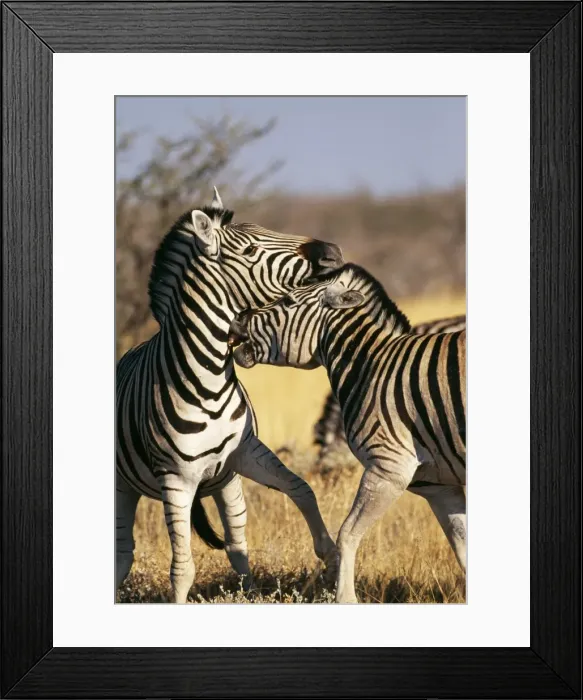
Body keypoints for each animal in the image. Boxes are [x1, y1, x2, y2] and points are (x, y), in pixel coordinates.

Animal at [116, 189, 344, 603]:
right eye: (251, 249)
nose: (332, 251)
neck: (209, 385)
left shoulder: (245, 451)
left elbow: (302, 489)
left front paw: (331, 556)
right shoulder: (176, 479)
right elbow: (182, 570)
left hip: (225, 482)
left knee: (237, 546)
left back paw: (248, 593)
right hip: (123, 485)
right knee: (123, 554)